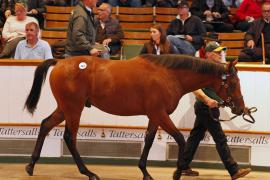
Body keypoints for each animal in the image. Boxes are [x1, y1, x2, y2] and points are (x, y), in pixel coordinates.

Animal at [24, 54, 245, 180]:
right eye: (233, 83)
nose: (241, 108)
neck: (169, 75)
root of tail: (60, 62)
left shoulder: (154, 116)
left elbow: (148, 140)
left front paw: (145, 172)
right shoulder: (159, 114)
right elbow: (180, 139)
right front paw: (177, 172)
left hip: (65, 108)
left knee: (45, 125)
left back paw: (31, 165)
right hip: (73, 109)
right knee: (70, 137)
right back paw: (89, 173)